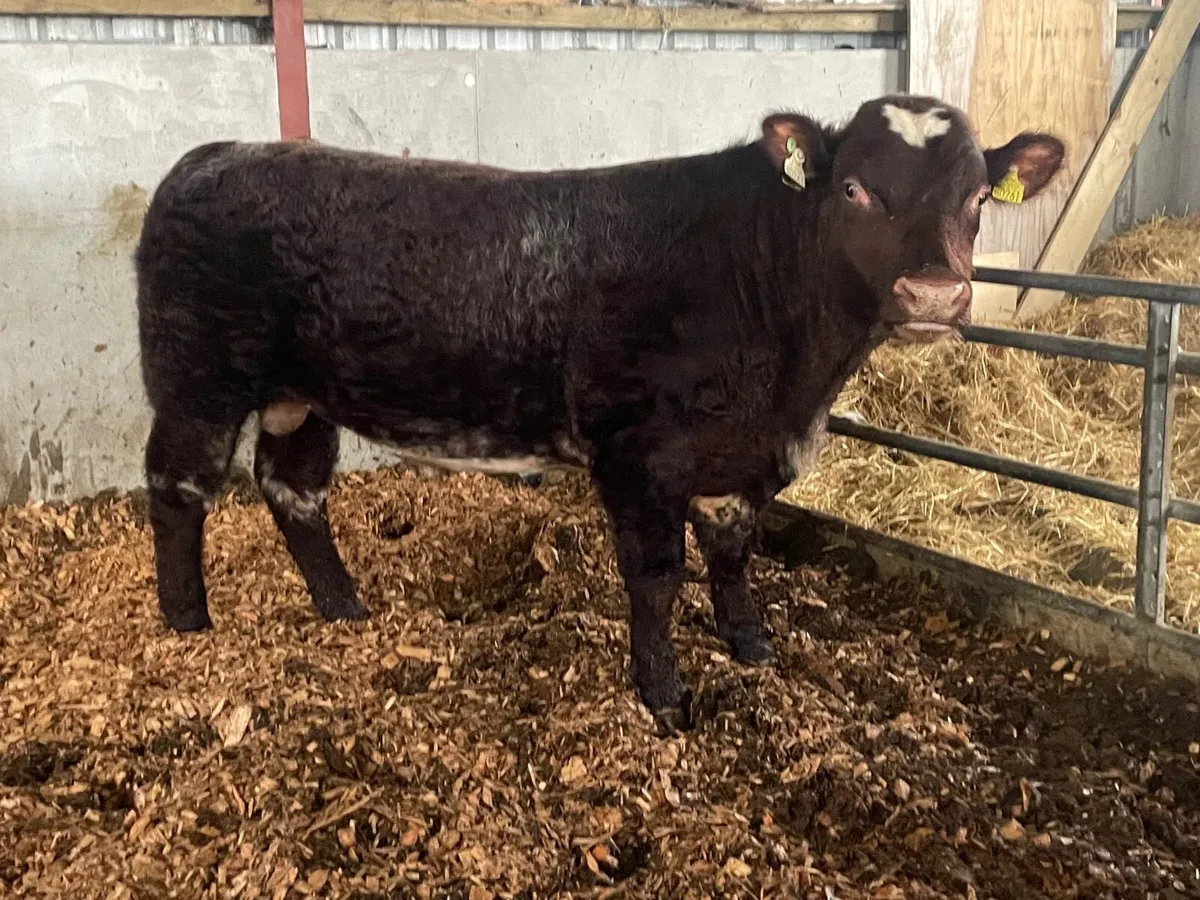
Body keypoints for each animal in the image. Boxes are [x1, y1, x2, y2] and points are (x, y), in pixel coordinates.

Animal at [135, 93, 1064, 732]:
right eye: (853, 189)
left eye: (980, 198)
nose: (935, 295)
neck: (791, 386)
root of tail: (217, 153)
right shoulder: (639, 456)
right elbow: (656, 579)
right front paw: (666, 698)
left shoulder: (745, 456)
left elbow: (733, 555)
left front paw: (752, 649)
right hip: (197, 377)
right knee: (179, 487)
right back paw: (189, 627)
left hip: (301, 395)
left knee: (292, 488)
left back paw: (343, 611)